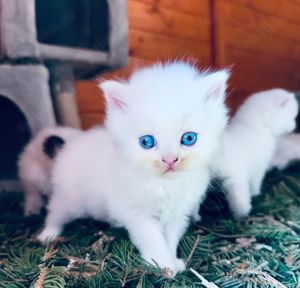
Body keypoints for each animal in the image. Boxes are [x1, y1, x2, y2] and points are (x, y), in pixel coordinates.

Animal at [37, 62, 230, 274]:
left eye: (189, 138)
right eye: (147, 142)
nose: (170, 160)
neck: (164, 185)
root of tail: (71, 144)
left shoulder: (177, 214)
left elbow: (170, 239)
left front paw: (173, 262)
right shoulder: (138, 215)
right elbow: (154, 240)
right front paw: (162, 265)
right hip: (69, 199)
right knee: (55, 212)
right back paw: (48, 234)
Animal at [211, 88, 298, 218]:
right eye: (291, 116)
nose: (294, 126)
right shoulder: (258, 169)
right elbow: (255, 184)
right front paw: (255, 194)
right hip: (235, 182)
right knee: (239, 202)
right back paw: (242, 215)